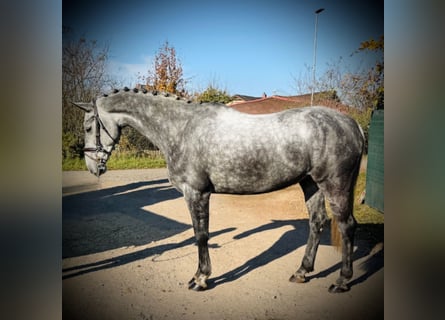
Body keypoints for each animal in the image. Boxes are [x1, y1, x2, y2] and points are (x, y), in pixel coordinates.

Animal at [73, 87, 364, 292]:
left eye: (88, 127)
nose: (92, 167)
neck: (182, 128)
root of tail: (353, 125)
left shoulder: (196, 193)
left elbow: (201, 235)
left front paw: (201, 278)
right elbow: (201, 234)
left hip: (334, 185)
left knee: (347, 225)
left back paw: (342, 281)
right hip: (311, 183)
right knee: (317, 222)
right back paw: (302, 272)